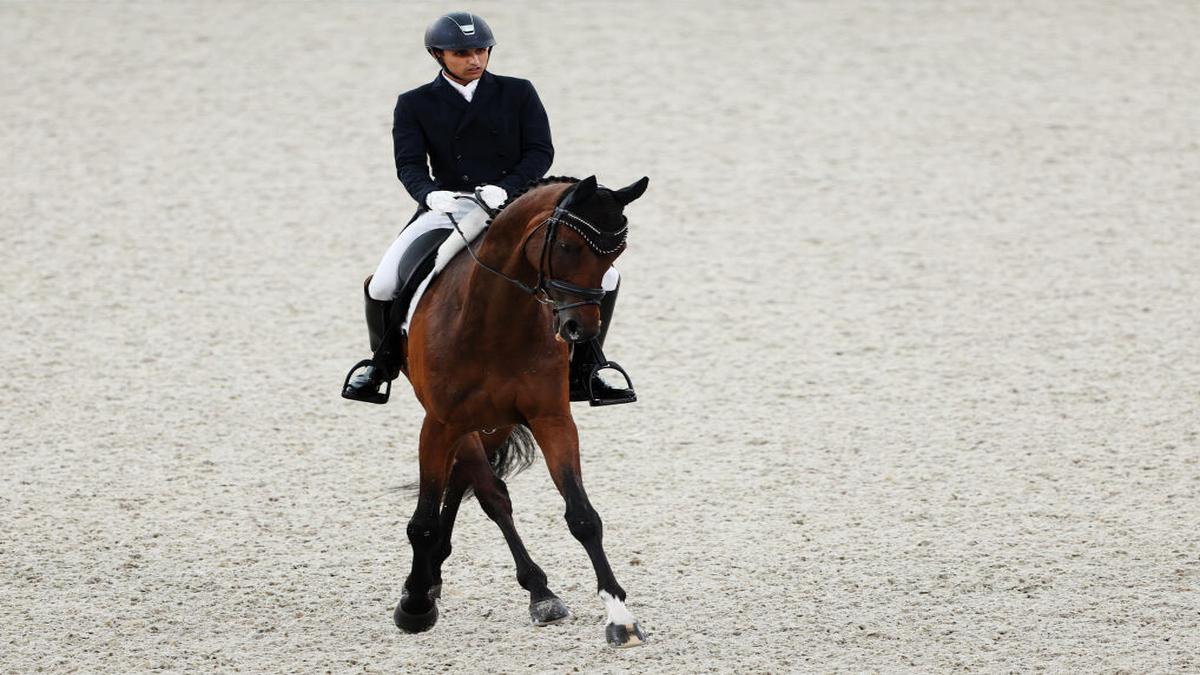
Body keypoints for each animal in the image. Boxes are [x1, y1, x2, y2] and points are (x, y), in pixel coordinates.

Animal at [391, 174, 652, 648]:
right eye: (567, 246)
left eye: (616, 253)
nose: (578, 330)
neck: (495, 322)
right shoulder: (439, 423)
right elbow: (426, 519)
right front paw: (414, 606)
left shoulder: (552, 419)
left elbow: (583, 516)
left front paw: (620, 616)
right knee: (487, 491)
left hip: (493, 423)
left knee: (469, 483)